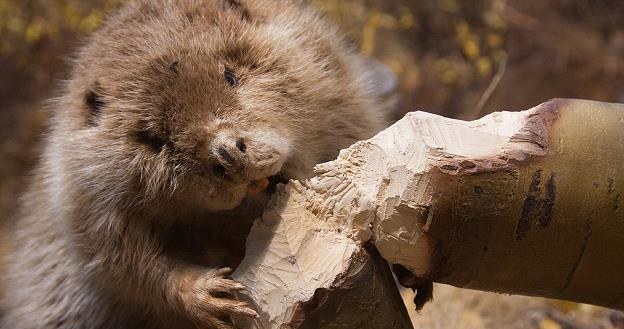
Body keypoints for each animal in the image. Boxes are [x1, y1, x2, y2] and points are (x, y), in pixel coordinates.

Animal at [0, 0, 388, 328]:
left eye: (231, 75)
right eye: (155, 137)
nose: (228, 155)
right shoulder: (79, 192)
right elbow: (116, 260)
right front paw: (215, 296)